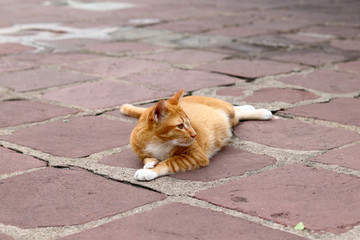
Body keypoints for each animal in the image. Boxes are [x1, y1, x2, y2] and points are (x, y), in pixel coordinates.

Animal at [119, 89, 272, 181]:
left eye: (189, 122)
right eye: (180, 126)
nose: (194, 134)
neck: (159, 142)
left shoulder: (195, 156)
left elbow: (169, 162)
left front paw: (149, 171)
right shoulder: (140, 151)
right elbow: (146, 158)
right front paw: (151, 163)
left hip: (226, 109)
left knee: (236, 110)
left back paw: (261, 111)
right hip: (231, 120)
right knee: (237, 115)